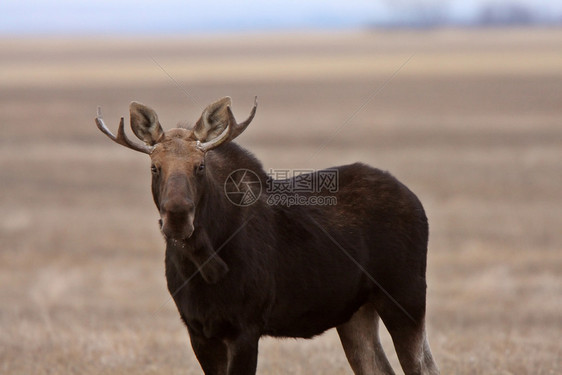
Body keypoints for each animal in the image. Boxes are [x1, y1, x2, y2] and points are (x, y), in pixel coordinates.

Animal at [95, 97, 438, 375]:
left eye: (200, 166)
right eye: (154, 167)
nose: (177, 216)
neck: (204, 264)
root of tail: (416, 201)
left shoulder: (246, 328)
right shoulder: (199, 331)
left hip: (405, 297)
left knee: (424, 367)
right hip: (355, 312)